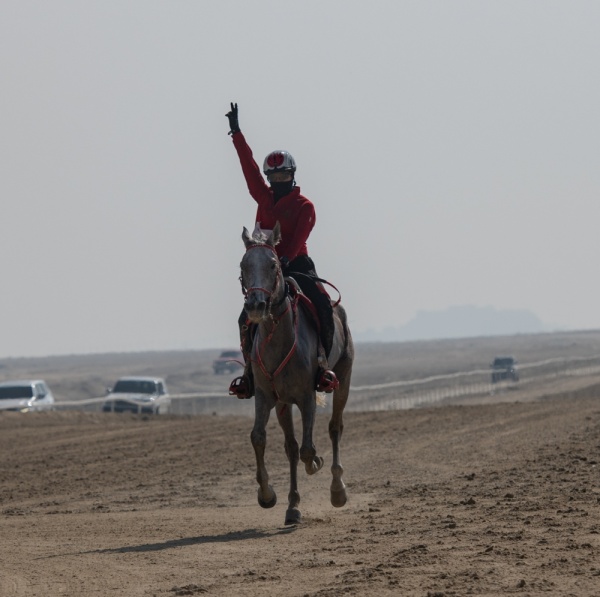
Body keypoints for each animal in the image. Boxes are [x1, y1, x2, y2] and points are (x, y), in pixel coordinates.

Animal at [239, 221, 354, 524]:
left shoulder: (305, 397)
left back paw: (337, 490)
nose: (255, 305)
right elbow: (259, 437)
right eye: (243, 265)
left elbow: (308, 449)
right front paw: (267, 495)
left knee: (335, 428)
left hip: (344, 378)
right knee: (291, 448)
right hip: (282, 403)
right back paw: (292, 505)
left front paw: (316, 463)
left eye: (273, 265)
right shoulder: (266, 396)